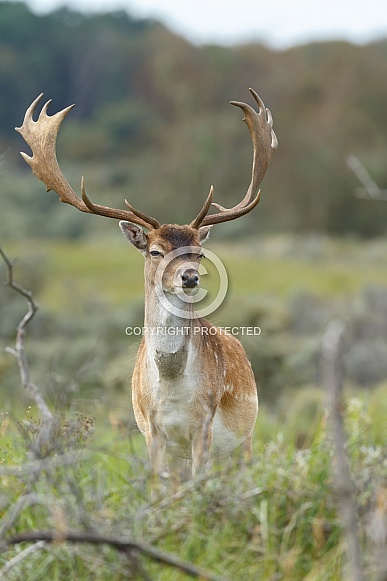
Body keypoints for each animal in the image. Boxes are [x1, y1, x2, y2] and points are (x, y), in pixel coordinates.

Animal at [16, 88, 278, 480]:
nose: (190, 277)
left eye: (199, 252)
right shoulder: (152, 429)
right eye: (156, 251)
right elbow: (159, 486)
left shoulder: (203, 425)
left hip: (245, 438)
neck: (171, 390)